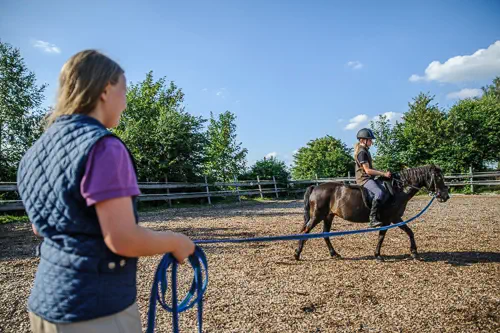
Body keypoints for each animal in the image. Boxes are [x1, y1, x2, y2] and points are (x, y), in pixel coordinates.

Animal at [294, 165, 452, 260]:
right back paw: (297, 254)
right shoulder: (388, 219)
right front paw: (378, 255)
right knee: (306, 232)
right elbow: (381, 236)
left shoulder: (396, 218)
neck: (398, 190)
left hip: (328, 216)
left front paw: (414, 252)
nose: (445, 196)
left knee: (325, 234)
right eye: (438, 177)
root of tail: (315, 187)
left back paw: (334, 254)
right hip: (317, 216)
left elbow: (409, 232)